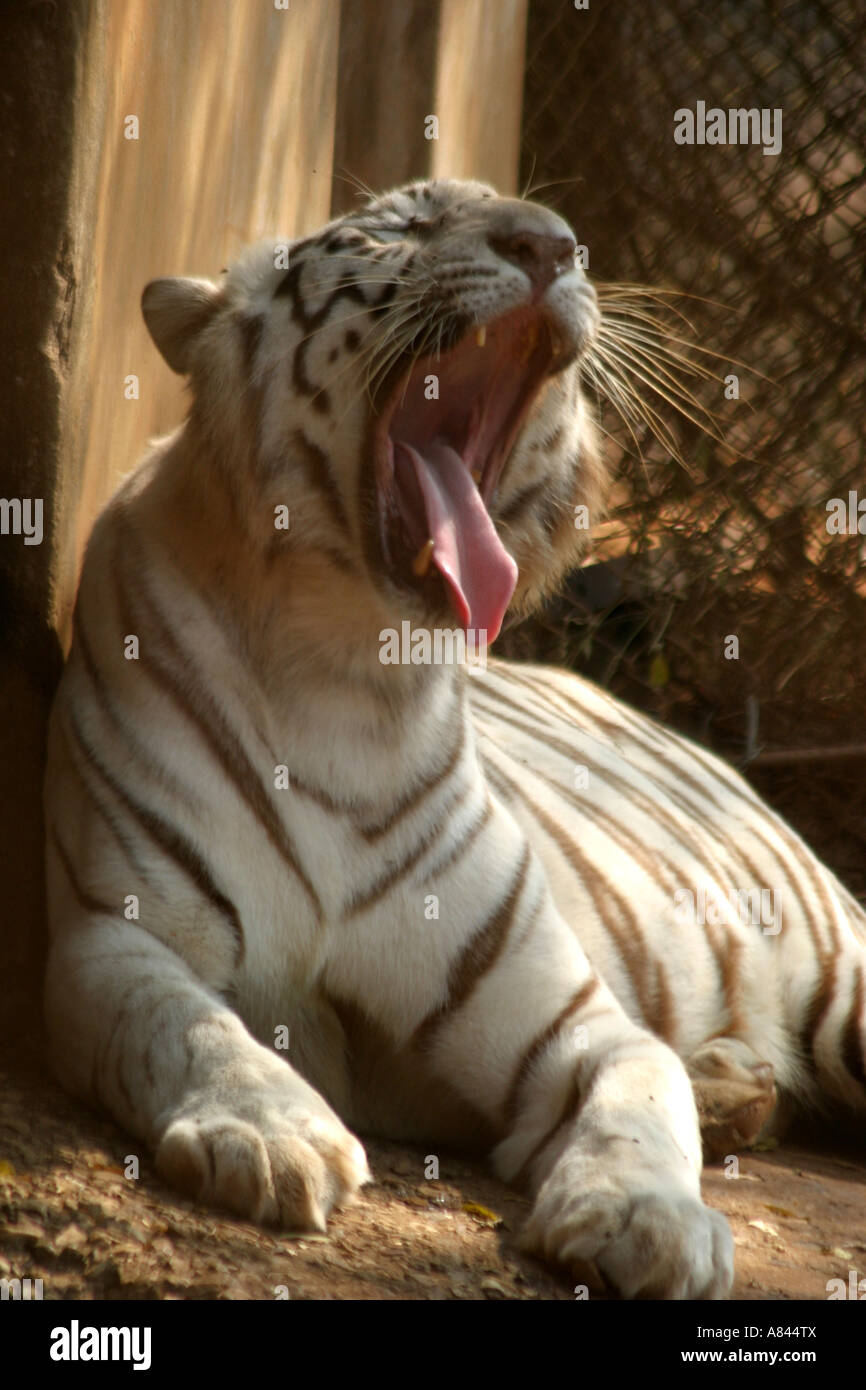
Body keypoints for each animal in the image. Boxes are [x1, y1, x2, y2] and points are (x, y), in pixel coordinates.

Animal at [45, 179, 866, 1295]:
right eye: (406, 222)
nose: (553, 245)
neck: (345, 675)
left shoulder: (571, 1021)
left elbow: (643, 1096)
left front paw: (645, 1219)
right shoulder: (108, 933)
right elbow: (185, 1024)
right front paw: (268, 1132)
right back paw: (735, 1083)